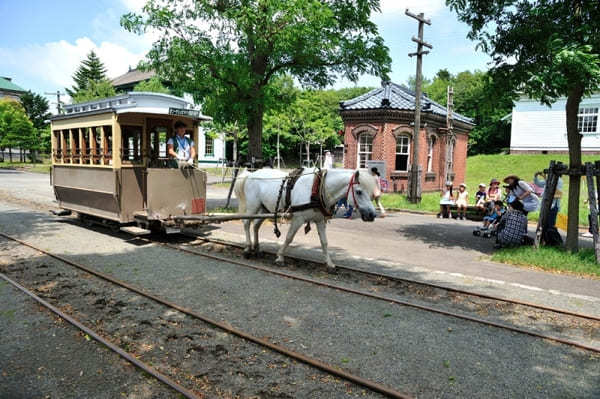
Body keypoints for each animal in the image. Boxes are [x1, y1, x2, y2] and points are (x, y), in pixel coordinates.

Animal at [233, 167, 378, 274]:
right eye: (359, 192)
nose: (372, 215)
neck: (318, 189)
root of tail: (251, 174)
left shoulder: (320, 221)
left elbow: (324, 243)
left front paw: (329, 264)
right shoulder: (298, 219)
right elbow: (289, 238)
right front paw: (280, 257)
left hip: (264, 208)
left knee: (256, 225)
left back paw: (256, 248)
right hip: (253, 206)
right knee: (247, 223)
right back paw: (247, 249)